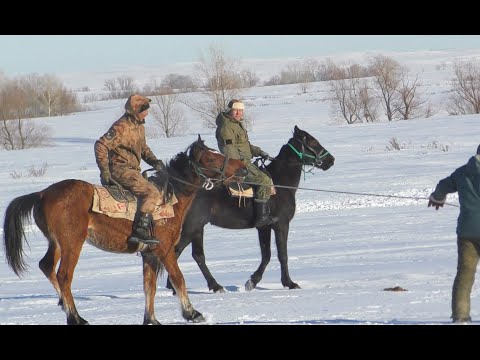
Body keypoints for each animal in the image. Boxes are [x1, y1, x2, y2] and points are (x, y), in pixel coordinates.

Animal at [0, 136, 248, 326]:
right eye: (211, 157)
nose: (243, 168)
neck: (169, 198)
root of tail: (42, 194)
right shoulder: (165, 251)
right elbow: (178, 279)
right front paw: (192, 313)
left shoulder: (149, 254)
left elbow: (150, 287)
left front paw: (151, 319)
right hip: (72, 243)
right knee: (64, 276)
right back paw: (75, 317)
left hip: (57, 243)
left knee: (47, 266)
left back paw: (64, 305)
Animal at [167, 125, 336, 294]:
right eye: (313, 142)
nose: (331, 160)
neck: (280, 184)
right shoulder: (281, 224)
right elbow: (282, 255)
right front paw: (289, 283)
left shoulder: (264, 227)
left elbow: (266, 255)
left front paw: (252, 281)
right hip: (192, 227)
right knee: (178, 252)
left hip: (197, 228)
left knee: (196, 255)